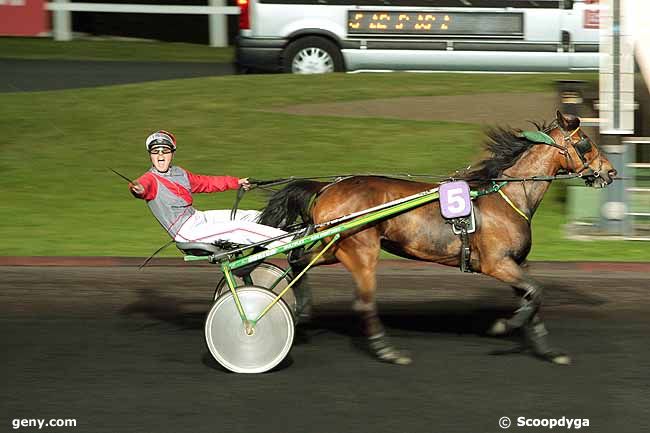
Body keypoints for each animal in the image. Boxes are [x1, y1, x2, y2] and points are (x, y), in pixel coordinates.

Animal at [258, 111, 612, 364]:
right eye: (585, 142)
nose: (609, 172)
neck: (506, 196)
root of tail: (326, 187)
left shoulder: (515, 263)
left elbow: (533, 296)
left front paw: (549, 351)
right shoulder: (496, 263)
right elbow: (536, 292)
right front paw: (504, 326)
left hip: (335, 246)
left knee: (298, 259)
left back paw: (302, 311)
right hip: (360, 250)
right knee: (363, 301)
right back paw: (387, 351)